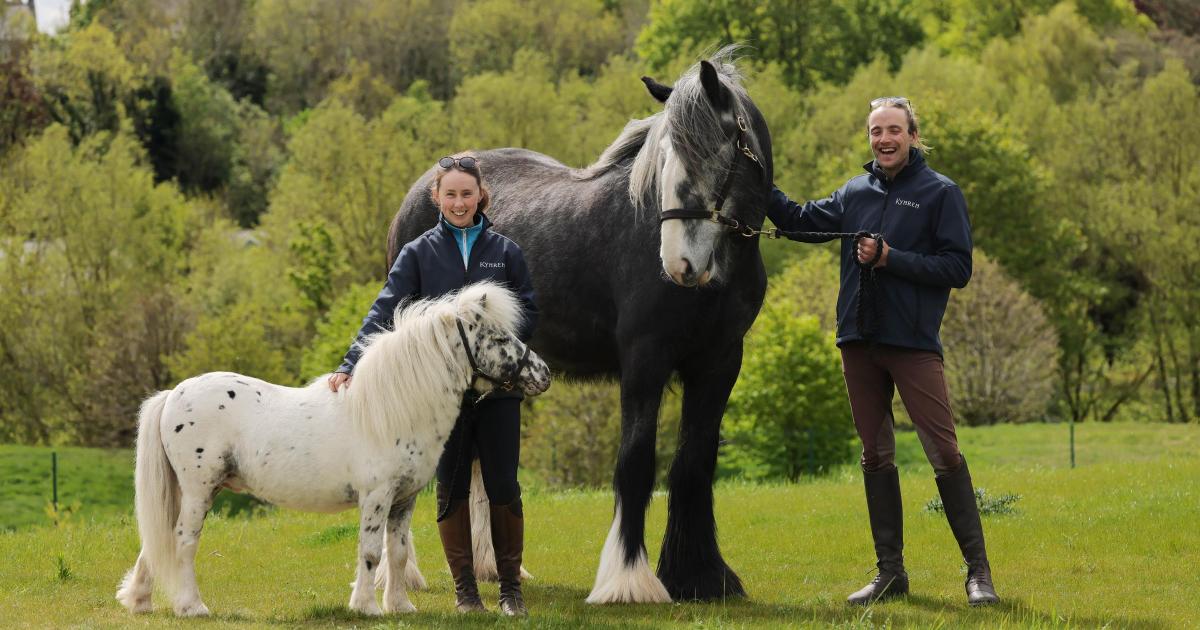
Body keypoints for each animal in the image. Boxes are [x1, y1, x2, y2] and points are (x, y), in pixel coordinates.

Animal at [115, 283, 552, 616]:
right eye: (499, 338)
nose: (544, 374)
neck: (391, 409)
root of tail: (174, 394)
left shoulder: (403, 499)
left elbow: (397, 552)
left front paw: (400, 606)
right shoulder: (376, 497)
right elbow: (371, 551)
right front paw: (367, 607)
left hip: (182, 491)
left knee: (157, 542)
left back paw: (140, 601)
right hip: (198, 490)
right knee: (184, 541)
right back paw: (192, 607)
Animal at [383, 47, 773, 603]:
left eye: (708, 157)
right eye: (663, 162)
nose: (679, 264)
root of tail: (422, 190)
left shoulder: (719, 364)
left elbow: (694, 464)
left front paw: (700, 576)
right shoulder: (645, 360)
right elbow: (635, 463)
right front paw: (628, 580)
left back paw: (487, 566)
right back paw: (401, 575)